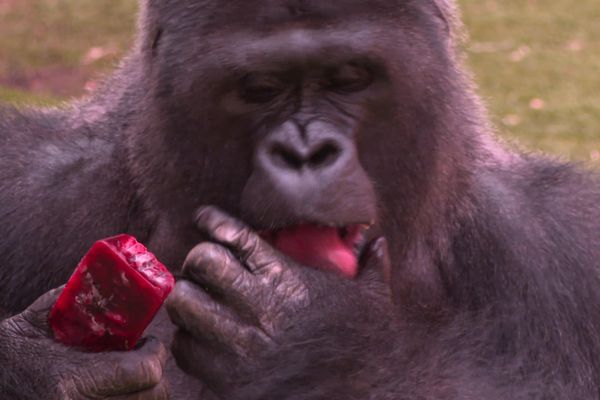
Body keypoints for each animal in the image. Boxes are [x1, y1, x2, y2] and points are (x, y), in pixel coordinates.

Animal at [1, 0, 600, 398]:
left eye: (351, 79)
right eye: (259, 88)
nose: (306, 153)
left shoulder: (567, 237)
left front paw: (324, 342)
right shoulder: (26, 181)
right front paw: (39, 366)